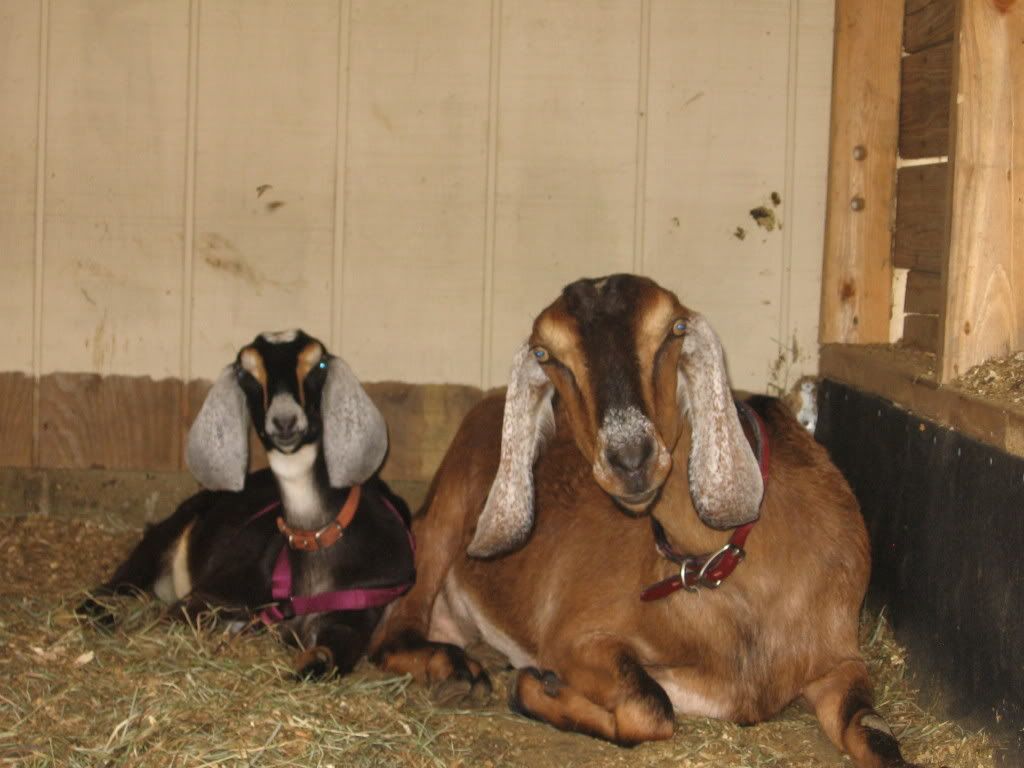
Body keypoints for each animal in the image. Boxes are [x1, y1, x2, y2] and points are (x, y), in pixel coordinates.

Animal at [78, 330, 415, 679]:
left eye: (319, 364)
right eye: (245, 373)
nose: (284, 421)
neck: (317, 539)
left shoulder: (358, 611)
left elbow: (331, 658)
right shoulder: (216, 591)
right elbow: (178, 617)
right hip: (157, 543)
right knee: (106, 591)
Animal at [371, 275, 920, 767]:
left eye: (673, 329)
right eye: (546, 355)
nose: (630, 458)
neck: (730, 572)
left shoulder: (840, 660)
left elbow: (876, 737)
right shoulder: (576, 635)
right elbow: (651, 704)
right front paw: (536, 687)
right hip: (442, 520)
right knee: (391, 635)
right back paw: (455, 673)